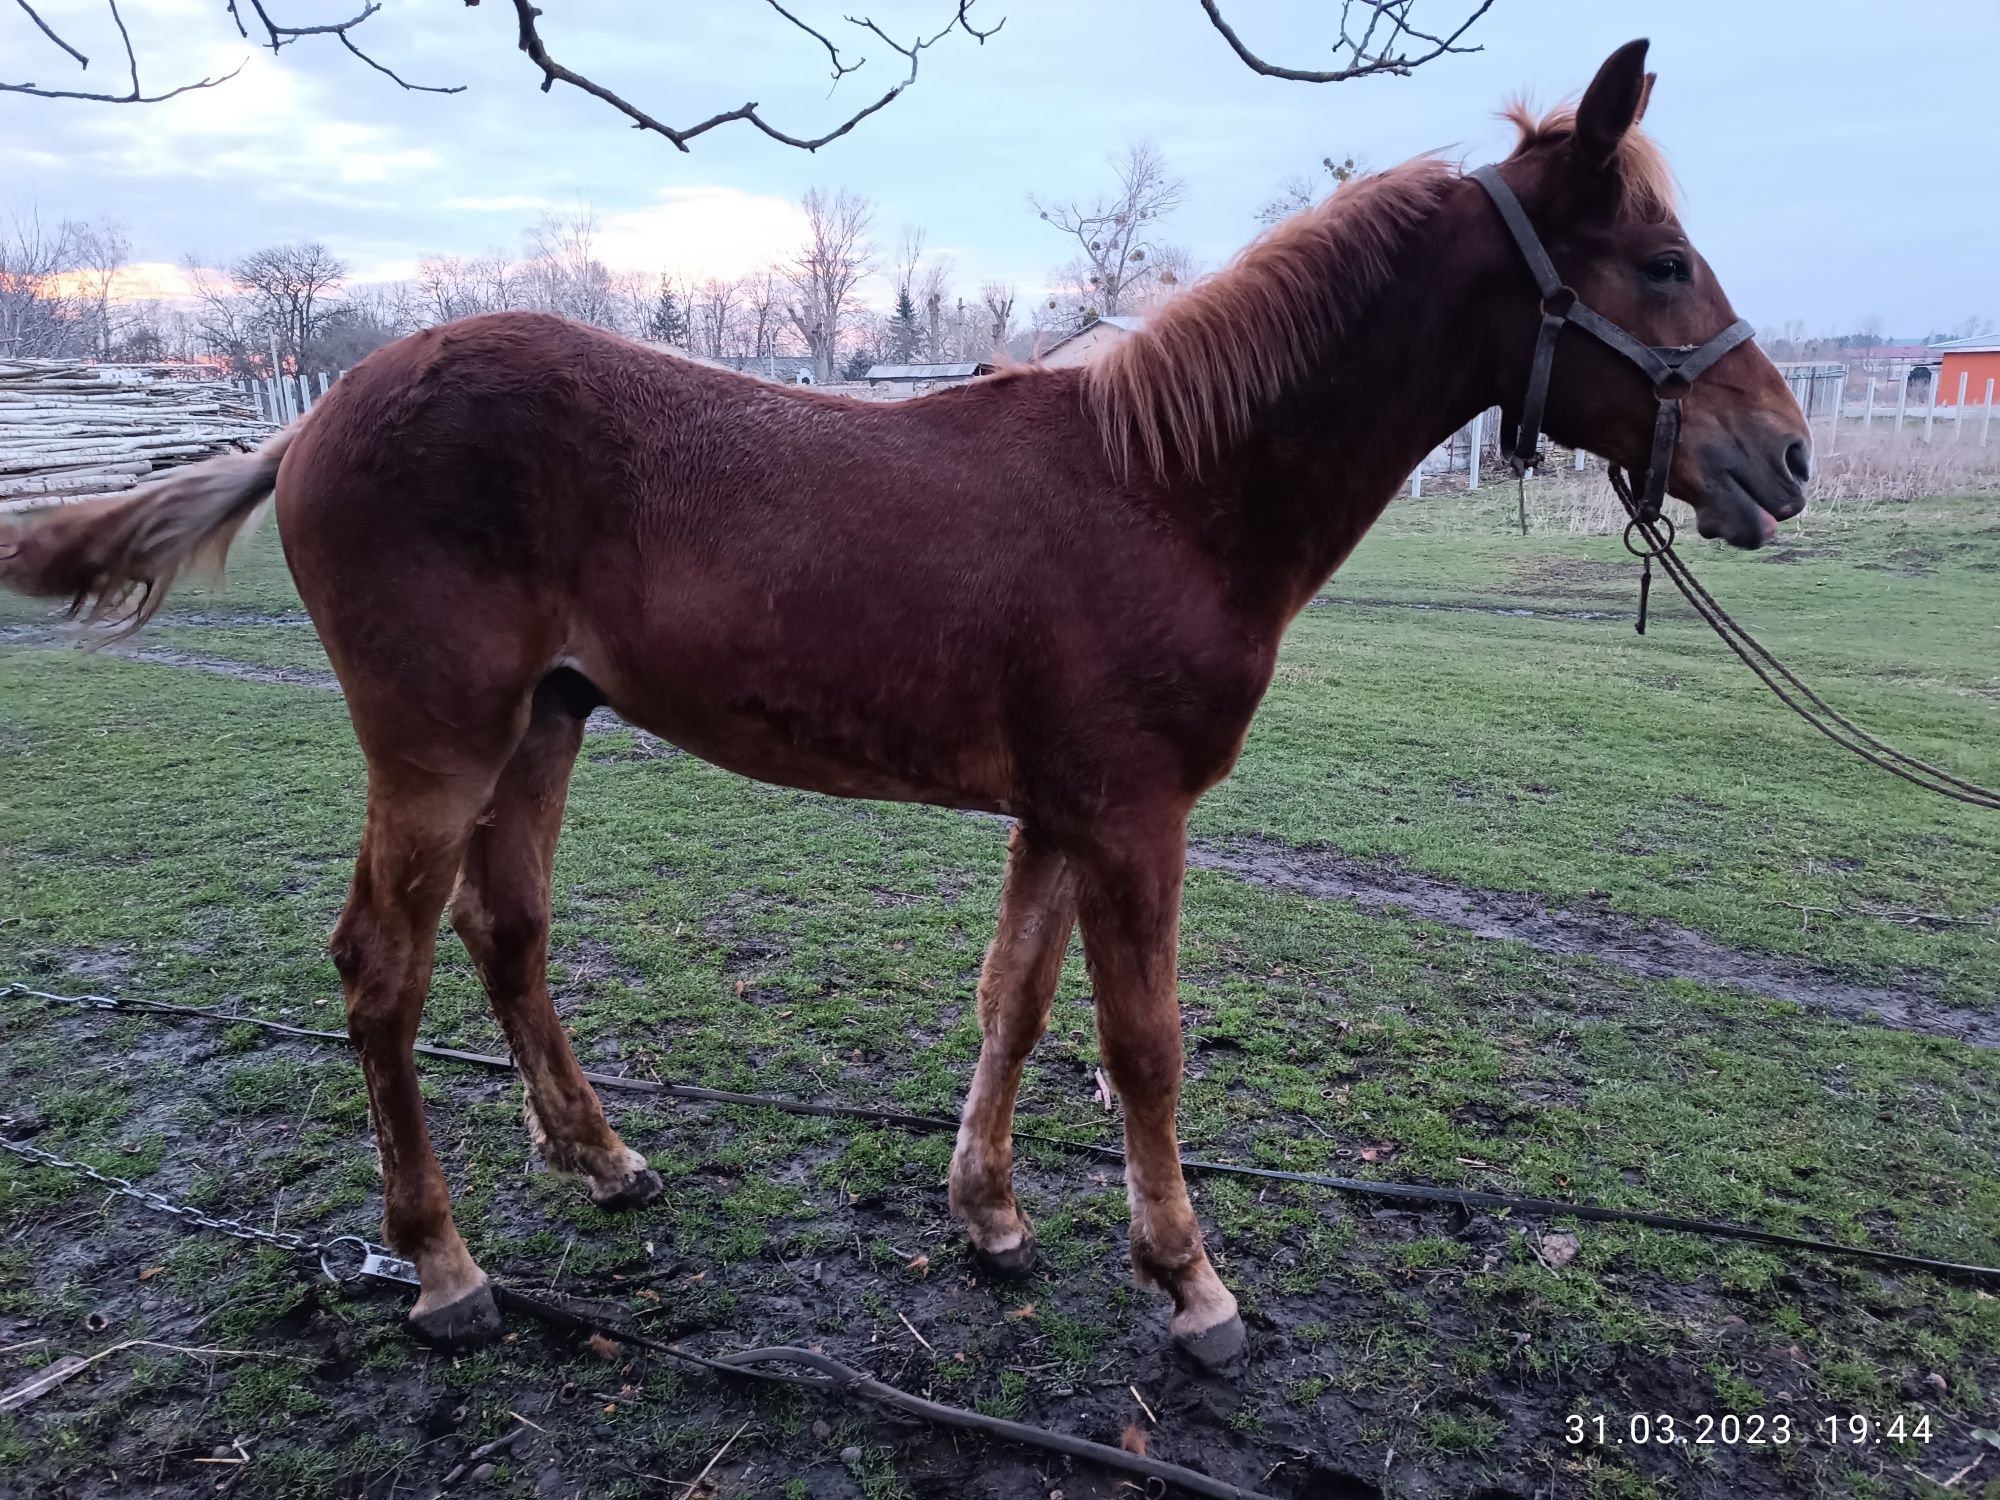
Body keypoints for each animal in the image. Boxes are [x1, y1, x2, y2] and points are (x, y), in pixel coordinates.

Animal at [0, 41, 1816, 1368]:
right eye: (1661, 262)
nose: (1786, 458)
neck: (1168, 489)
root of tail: (309, 418)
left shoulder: (1059, 811)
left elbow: (1013, 1004)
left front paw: (992, 1219)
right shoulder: (1133, 819)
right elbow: (1144, 1048)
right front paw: (1191, 1286)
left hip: (545, 724)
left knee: (504, 935)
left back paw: (599, 1161)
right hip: (436, 746)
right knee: (382, 969)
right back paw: (442, 1268)